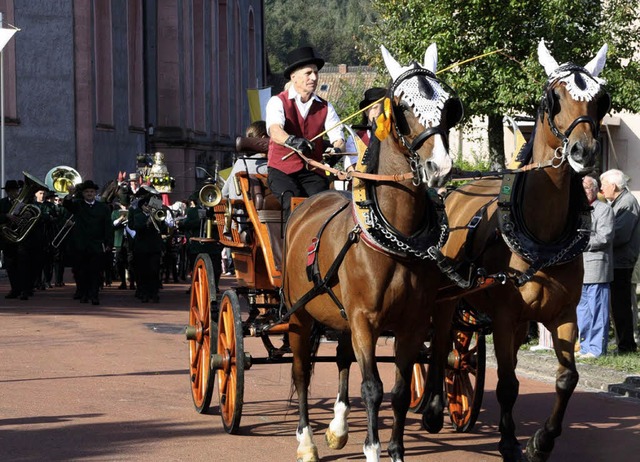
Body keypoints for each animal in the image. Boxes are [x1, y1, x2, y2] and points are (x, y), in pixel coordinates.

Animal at [282, 44, 462, 462]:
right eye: (404, 106)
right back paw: (306, 441)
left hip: (338, 316)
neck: (397, 240)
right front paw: (373, 449)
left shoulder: (411, 323)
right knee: (301, 372)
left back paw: (336, 428)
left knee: (341, 358)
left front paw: (394, 450)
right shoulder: (365, 320)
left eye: (448, 105)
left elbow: (398, 392)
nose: (440, 167)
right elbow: (372, 389)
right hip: (299, 316)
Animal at [436, 40, 608, 462]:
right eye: (554, 98)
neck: (542, 239)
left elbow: (567, 378)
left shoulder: (563, 314)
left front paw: (540, 442)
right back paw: (431, 405)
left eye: (602, 100)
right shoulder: (505, 318)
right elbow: (508, 383)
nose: (584, 151)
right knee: (437, 350)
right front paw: (509, 442)